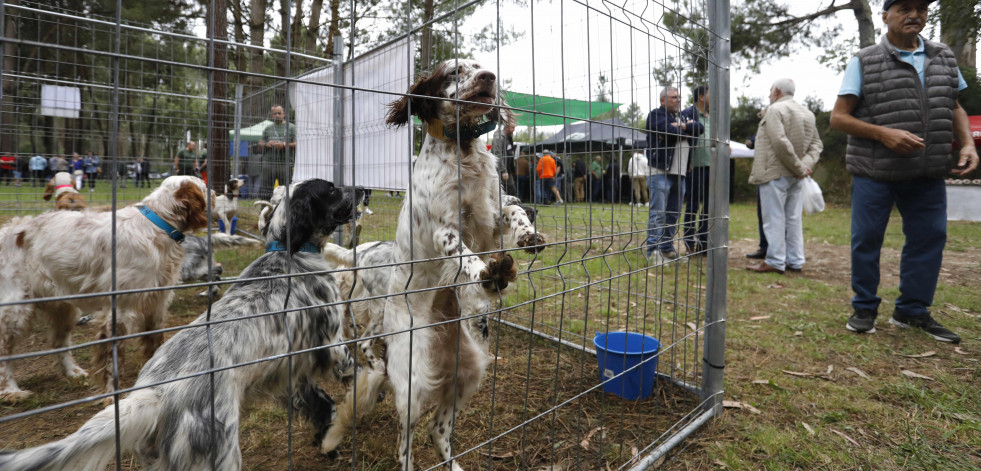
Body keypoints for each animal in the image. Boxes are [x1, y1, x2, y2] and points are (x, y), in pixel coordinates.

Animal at [0, 175, 213, 404]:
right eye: (205, 187)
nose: (217, 192)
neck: (156, 226)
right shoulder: (119, 309)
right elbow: (113, 359)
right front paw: (112, 396)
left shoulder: (156, 302)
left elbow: (155, 343)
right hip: (16, 311)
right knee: (5, 352)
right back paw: (11, 390)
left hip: (64, 308)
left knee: (59, 342)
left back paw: (73, 372)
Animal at [322, 60, 552, 471]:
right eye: (454, 72)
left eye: (479, 67)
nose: (489, 77)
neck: (462, 149)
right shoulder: (445, 229)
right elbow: (465, 256)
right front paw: (490, 275)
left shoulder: (493, 213)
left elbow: (513, 211)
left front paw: (529, 237)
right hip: (412, 383)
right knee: (405, 442)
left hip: (470, 373)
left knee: (437, 430)